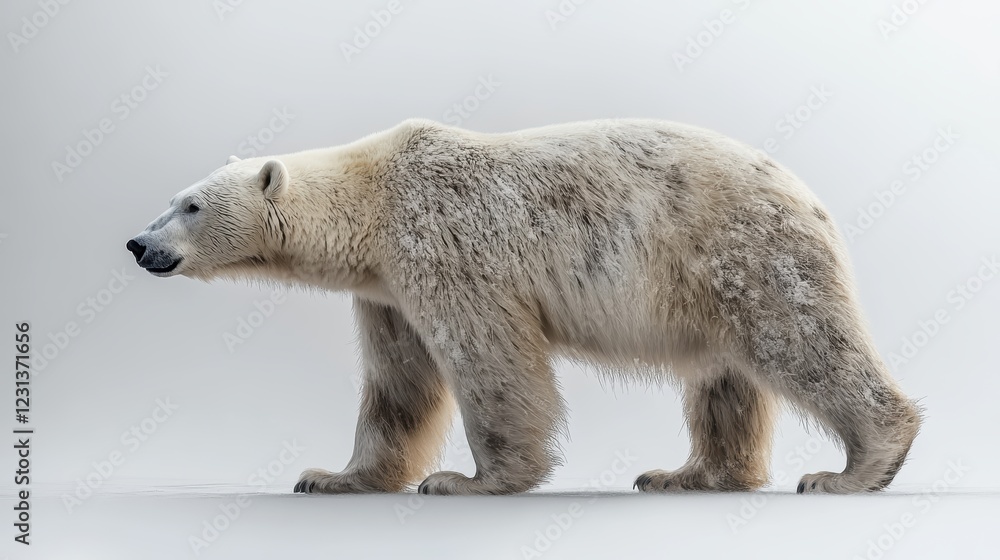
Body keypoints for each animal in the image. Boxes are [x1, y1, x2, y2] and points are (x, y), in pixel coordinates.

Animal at [126, 118, 921, 495]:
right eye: (171, 198)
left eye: (191, 206)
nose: (137, 243)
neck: (375, 193)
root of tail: (810, 196)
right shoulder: (385, 289)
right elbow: (399, 384)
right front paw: (332, 476)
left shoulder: (443, 243)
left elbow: (491, 360)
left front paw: (464, 481)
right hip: (711, 284)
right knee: (722, 378)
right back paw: (686, 474)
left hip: (742, 251)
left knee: (802, 341)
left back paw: (854, 468)